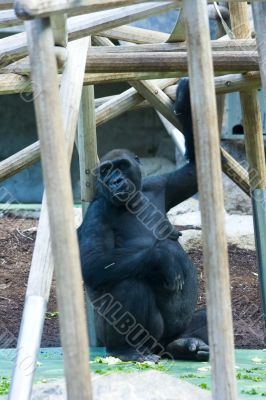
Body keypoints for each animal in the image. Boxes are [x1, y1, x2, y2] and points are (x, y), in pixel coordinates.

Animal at [78, 78, 209, 362]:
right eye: (106, 170)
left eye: (121, 166)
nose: (115, 180)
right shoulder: (96, 212)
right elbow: (94, 262)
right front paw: (165, 257)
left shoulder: (161, 184)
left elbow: (195, 170)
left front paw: (184, 97)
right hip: (135, 339)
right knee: (130, 285)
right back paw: (127, 350)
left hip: (171, 336)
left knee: (202, 318)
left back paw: (186, 344)